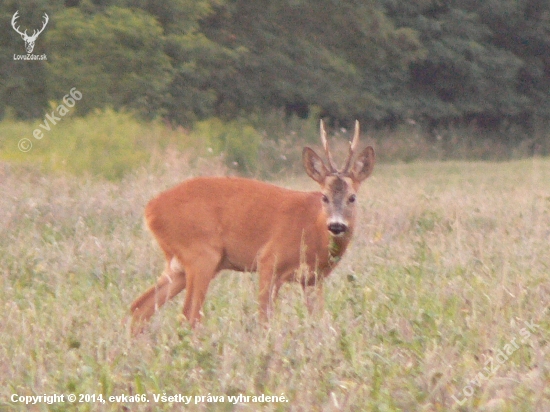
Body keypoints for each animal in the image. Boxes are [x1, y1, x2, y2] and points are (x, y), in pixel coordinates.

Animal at [132, 120, 378, 334]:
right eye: (324, 197)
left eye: (352, 197)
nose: (336, 225)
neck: (313, 230)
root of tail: (150, 209)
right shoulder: (269, 260)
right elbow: (264, 318)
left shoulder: (313, 279)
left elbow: (319, 319)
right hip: (201, 255)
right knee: (189, 316)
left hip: (179, 264)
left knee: (139, 308)